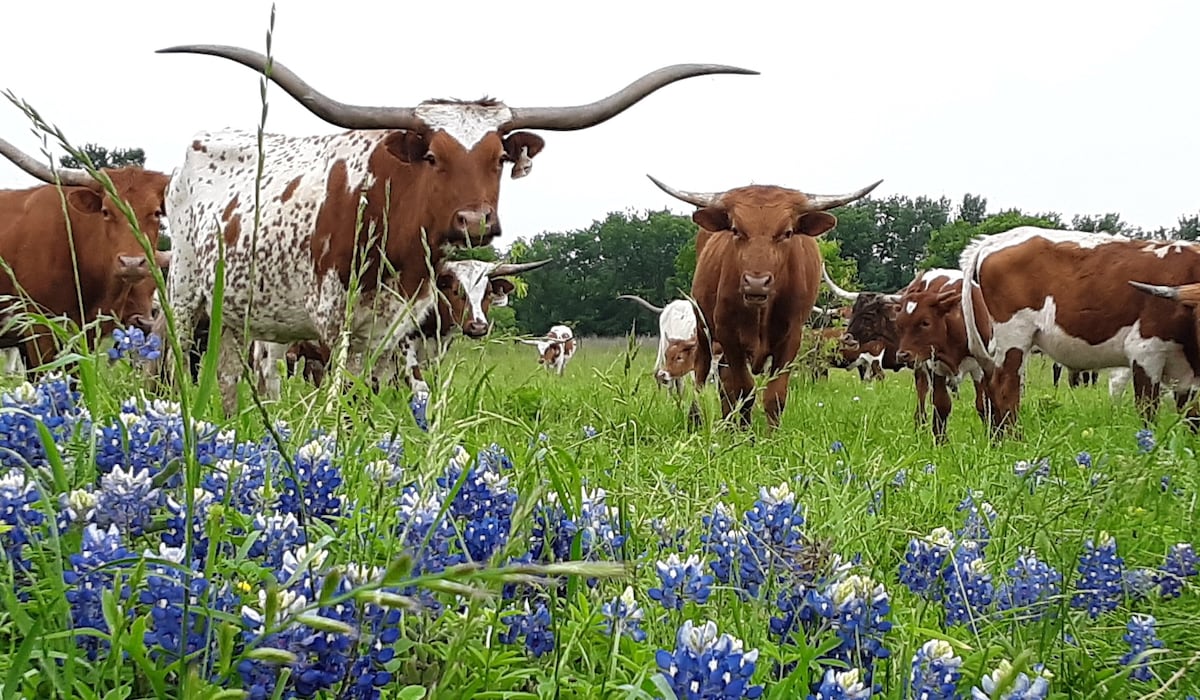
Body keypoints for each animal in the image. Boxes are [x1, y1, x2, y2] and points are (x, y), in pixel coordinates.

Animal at [154, 43, 753, 413]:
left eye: (499, 157)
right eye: (433, 156)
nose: (474, 221)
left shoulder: (396, 329)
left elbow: (381, 394)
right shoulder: (334, 319)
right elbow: (342, 394)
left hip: (239, 317)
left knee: (228, 379)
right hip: (188, 298)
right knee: (187, 370)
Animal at [892, 268, 993, 444]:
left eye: (925, 322)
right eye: (899, 323)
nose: (902, 355)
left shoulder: (980, 367)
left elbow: (983, 404)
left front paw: (989, 437)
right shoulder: (936, 368)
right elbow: (941, 404)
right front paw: (941, 441)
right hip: (921, 369)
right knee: (922, 396)